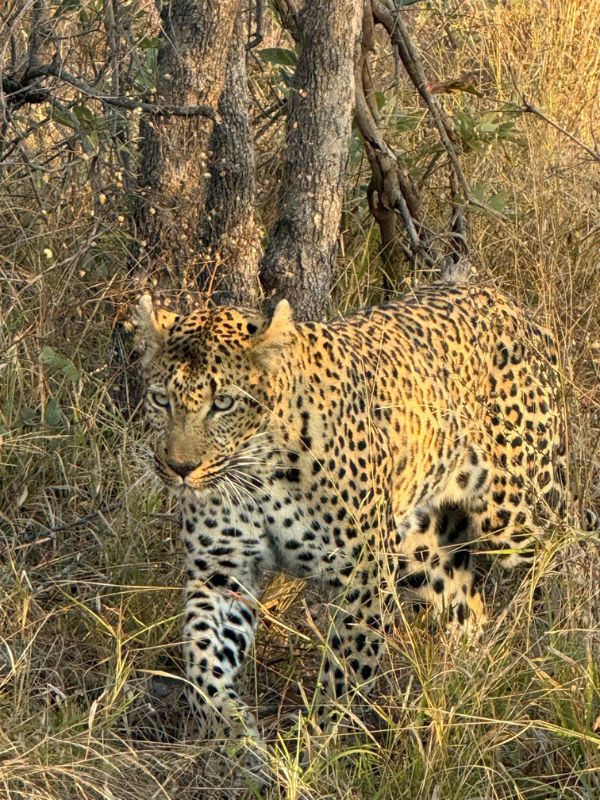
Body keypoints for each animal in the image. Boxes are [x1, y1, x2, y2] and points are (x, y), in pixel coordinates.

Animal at [132, 282, 595, 746]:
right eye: (160, 400)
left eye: (224, 403)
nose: (179, 468)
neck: (257, 475)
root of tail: (502, 297)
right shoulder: (221, 572)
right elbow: (203, 663)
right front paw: (233, 740)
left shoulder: (364, 573)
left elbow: (346, 669)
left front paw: (316, 746)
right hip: (422, 551)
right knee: (468, 610)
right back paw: (465, 689)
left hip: (519, 512)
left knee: (573, 557)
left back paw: (576, 654)